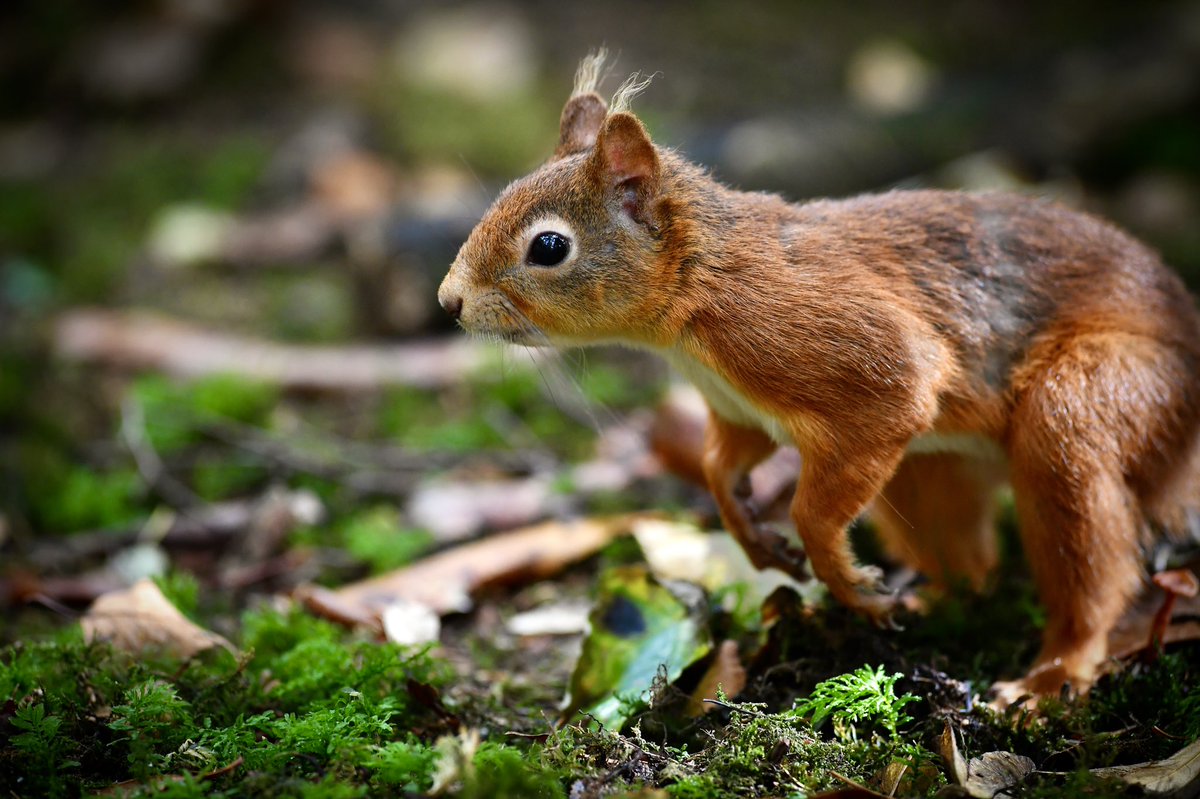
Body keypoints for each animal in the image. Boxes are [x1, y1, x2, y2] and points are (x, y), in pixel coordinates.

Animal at [439, 51, 1200, 695]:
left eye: (549, 246)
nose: (449, 301)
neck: (698, 296)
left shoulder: (855, 360)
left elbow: (829, 483)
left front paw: (838, 572)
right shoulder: (738, 410)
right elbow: (720, 464)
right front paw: (751, 532)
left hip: (1094, 400)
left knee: (1091, 562)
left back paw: (1048, 675)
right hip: (933, 471)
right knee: (969, 561)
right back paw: (925, 601)